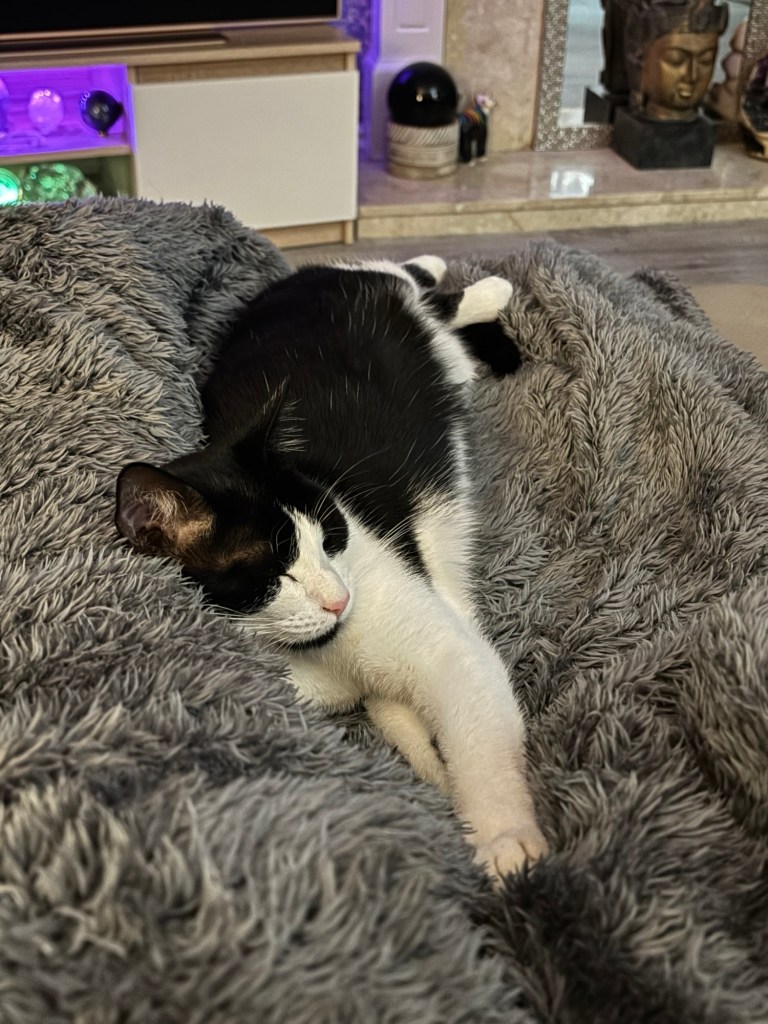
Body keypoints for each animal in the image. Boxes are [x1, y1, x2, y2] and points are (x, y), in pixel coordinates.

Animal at [115, 255, 548, 882]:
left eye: (331, 538)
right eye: (275, 571)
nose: (339, 599)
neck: (318, 653)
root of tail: (317, 273)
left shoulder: (434, 639)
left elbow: (475, 721)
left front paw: (504, 836)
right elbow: (396, 714)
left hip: (400, 303)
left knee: (428, 290)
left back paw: (478, 282)